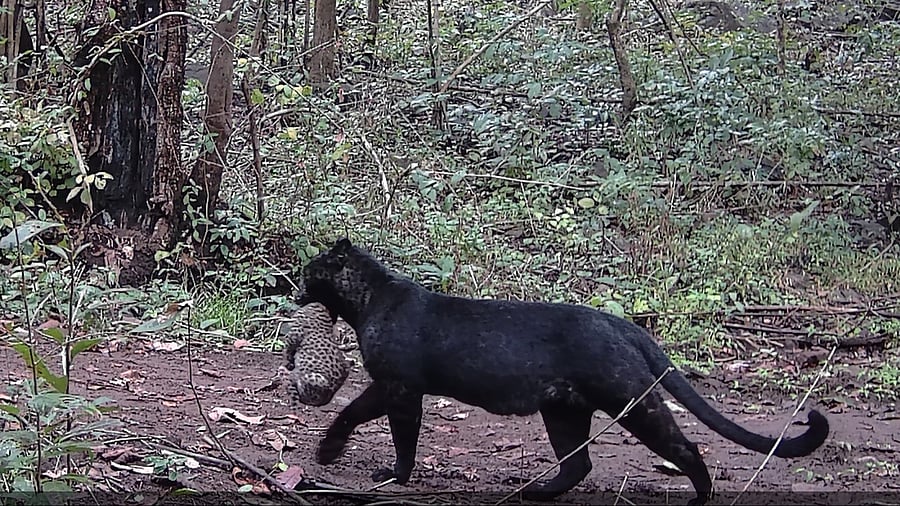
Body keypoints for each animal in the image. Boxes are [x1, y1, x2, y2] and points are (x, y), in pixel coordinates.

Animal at [296, 238, 829, 506]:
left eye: (309, 272)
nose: (295, 289)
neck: (369, 301)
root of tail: (621, 322)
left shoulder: (399, 387)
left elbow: (388, 429)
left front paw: (384, 471)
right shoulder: (393, 387)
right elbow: (361, 416)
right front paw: (335, 454)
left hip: (628, 400)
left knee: (683, 447)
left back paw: (699, 499)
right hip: (563, 411)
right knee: (578, 463)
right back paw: (536, 493)